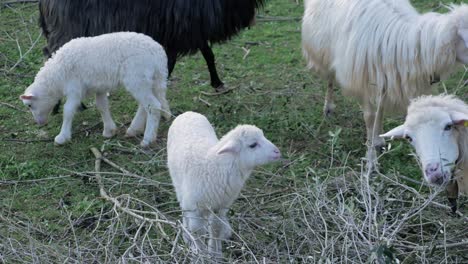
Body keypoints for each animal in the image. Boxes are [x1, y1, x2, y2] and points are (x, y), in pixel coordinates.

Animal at [20, 32, 171, 147]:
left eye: (29, 105)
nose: (40, 123)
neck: (57, 75)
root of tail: (159, 54)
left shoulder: (75, 88)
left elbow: (68, 110)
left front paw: (62, 137)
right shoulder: (100, 87)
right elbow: (102, 106)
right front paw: (109, 131)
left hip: (137, 78)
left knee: (153, 106)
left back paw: (148, 139)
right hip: (150, 80)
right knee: (146, 105)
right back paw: (134, 129)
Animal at [166, 112, 280, 258]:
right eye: (253, 145)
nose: (277, 152)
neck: (214, 165)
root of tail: (188, 113)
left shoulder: (220, 205)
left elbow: (216, 228)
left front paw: (215, 254)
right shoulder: (194, 206)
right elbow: (197, 231)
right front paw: (201, 254)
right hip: (179, 186)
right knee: (183, 209)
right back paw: (187, 235)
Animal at [300, 0, 468, 165]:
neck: (404, 43)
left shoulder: (384, 81)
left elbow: (380, 111)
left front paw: (377, 140)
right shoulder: (364, 83)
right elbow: (369, 117)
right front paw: (371, 160)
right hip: (324, 52)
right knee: (330, 79)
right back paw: (328, 107)